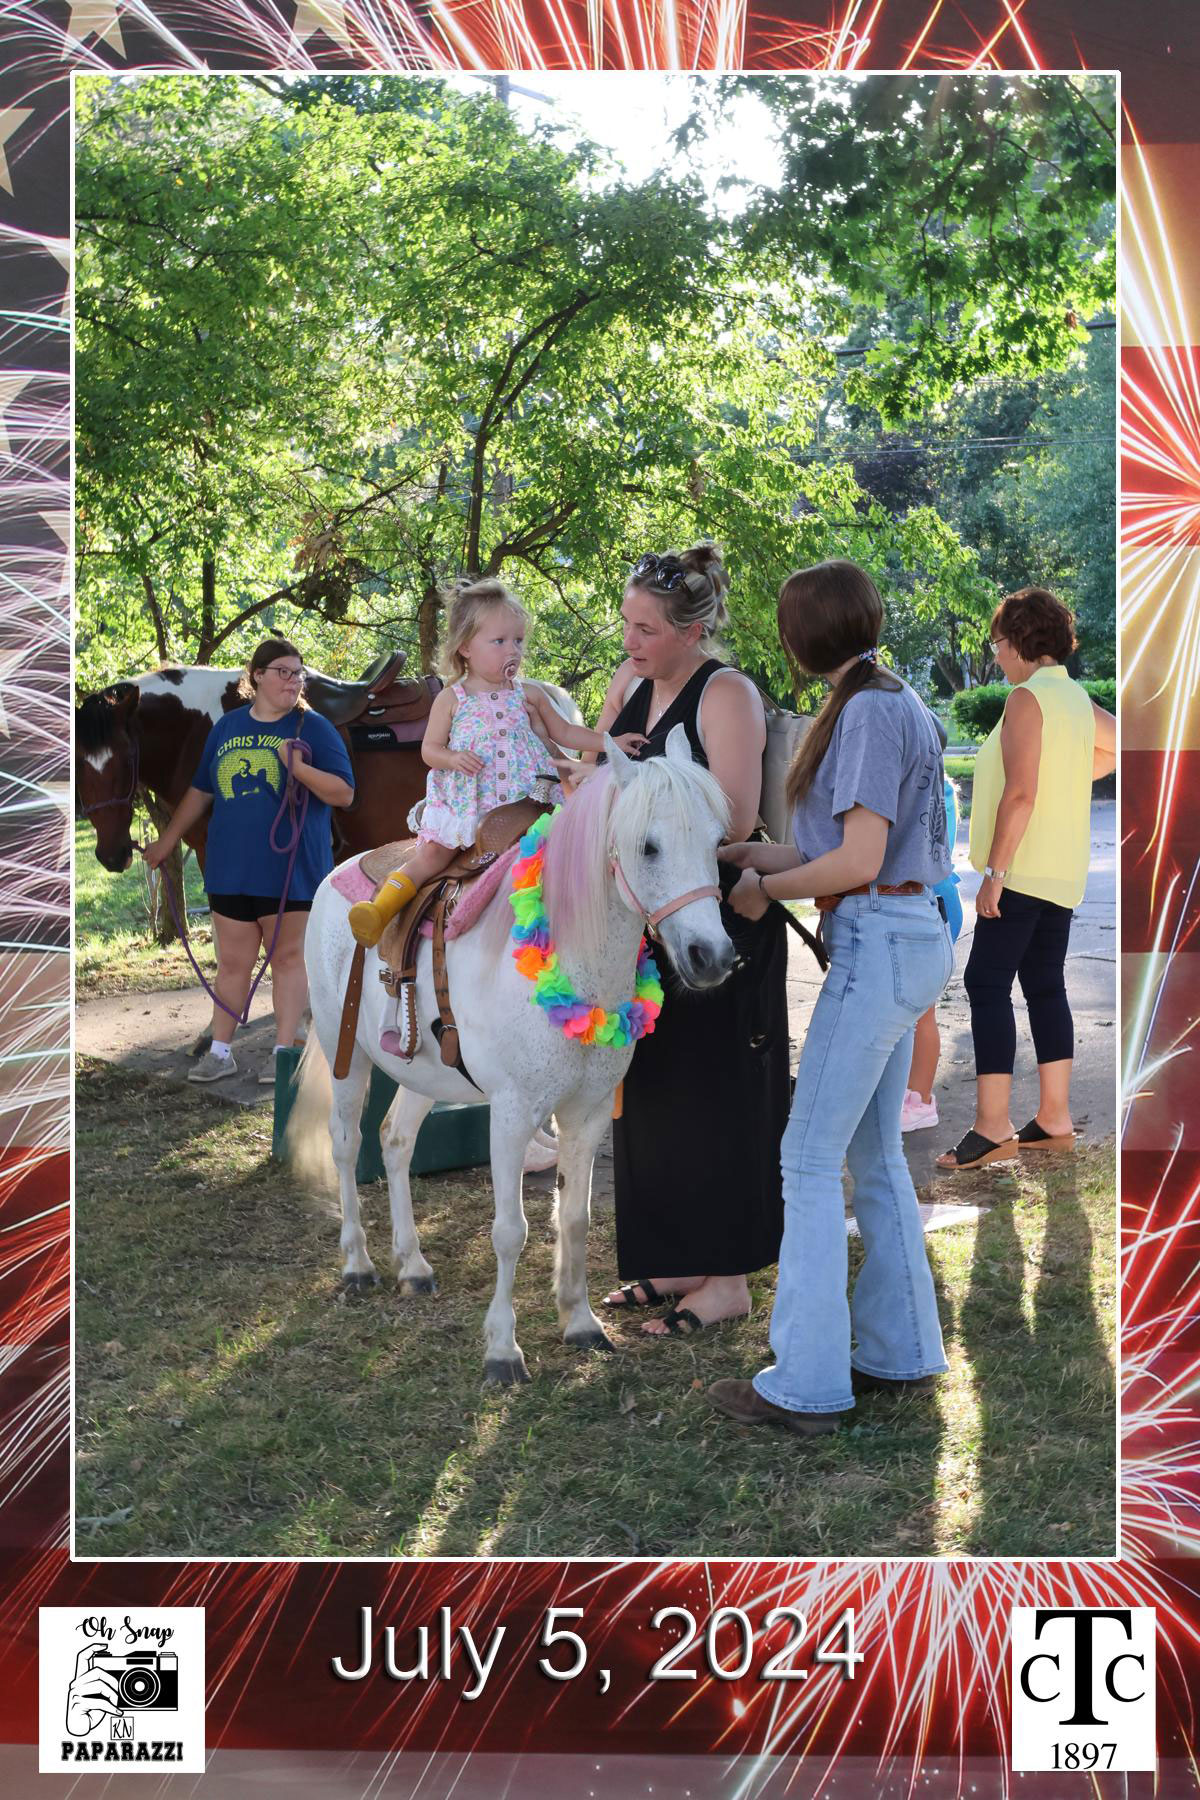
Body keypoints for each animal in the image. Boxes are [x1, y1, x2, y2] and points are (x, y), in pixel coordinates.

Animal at [295, 723, 737, 1382]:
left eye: (717, 841)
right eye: (649, 847)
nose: (713, 957)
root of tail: (340, 870)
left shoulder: (586, 1113)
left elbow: (575, 1218)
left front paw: (581, 1323)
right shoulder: (510, 1114)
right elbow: (510, 1231)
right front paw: (503, 1350)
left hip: (422, 1073)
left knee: (395, 1142)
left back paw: (413, 1266)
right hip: (343, 1050)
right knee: (347, 1145)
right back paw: (358, 1264)